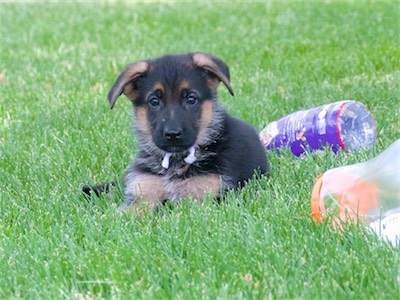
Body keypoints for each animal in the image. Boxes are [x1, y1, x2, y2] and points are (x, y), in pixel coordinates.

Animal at [85, 52, 270, 214]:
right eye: (154, 101)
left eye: (191, 99)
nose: (172, 134)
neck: (175, 161)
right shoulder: (142, 195)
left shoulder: (206, 198)